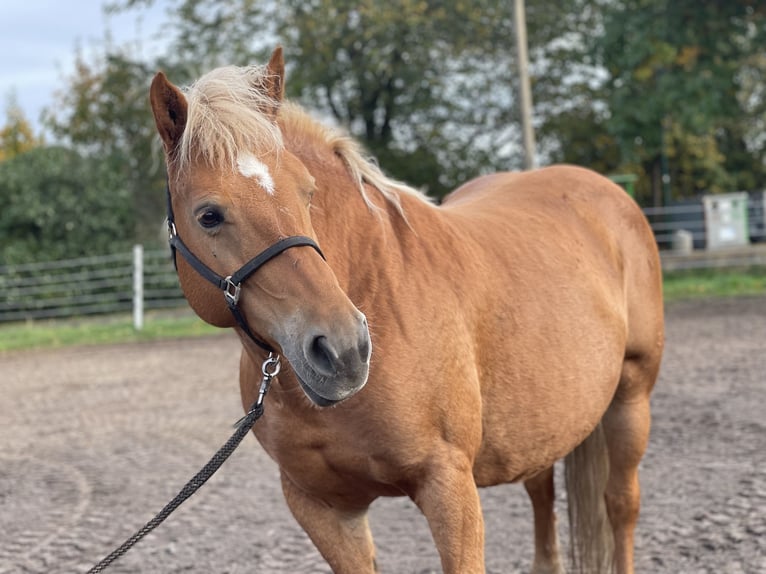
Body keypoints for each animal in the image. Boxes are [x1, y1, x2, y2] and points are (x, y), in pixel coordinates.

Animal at [150, 46, 664, 574]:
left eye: (308, 193)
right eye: (209, 215)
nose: (344, 351)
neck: (376, 286)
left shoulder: (449, 487)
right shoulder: (322, 508)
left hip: (631, 396)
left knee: (620, 503)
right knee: (542, 492)